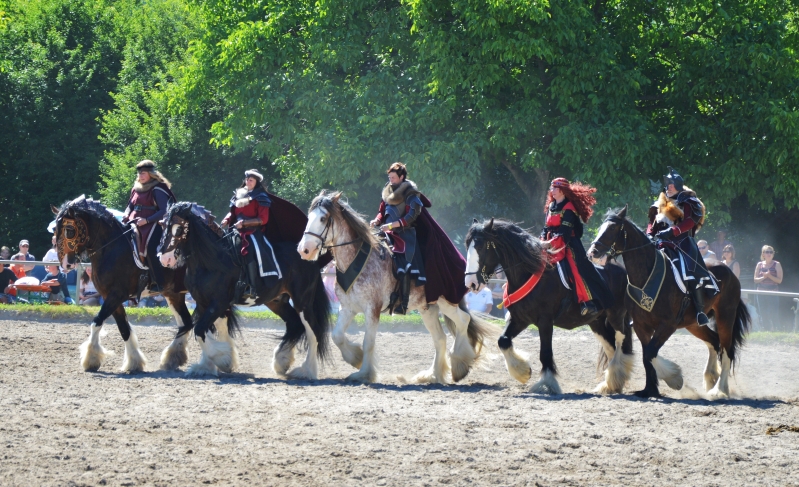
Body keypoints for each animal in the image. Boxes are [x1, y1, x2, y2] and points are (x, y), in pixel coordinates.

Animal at [51, 194, 194, 374]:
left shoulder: (116, 295)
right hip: (174, 295)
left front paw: (90, 358)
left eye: (69, 230)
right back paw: (173, 358)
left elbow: (97, 321)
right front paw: (134, 362)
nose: (65, 264)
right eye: (55, 231)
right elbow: (124, 329)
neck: (111, 248)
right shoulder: (112, 297)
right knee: (186, 323)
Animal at [158, 201, 332, 378]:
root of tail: (309, 257)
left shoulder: (219, 303)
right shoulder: (203, 303)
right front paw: (207, 366)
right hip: (277, 301)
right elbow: (205, 330)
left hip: (303, 302)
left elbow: (200, 329)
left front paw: (223, 359)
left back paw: (307, 371)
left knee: (312, 332)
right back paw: (282, 361)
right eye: (163, 225)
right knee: (295, 325)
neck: (211, 261)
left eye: (179, 228)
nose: (164, 258)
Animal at [296, 191, 494, 386]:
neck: (357, 259)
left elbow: (368, 342)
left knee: (463, 321)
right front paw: (356, 358)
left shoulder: (372, 309)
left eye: (323, 218)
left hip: (445, 302)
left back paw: (459, 364)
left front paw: (364, 374)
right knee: (440, 339)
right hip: (428, 309)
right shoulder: (347, 308)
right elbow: (336, 336)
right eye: (309, 217)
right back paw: (432, 375)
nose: (304, 250)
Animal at [466, 219, 636, 394]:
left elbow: (545, 353)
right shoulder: (520, 319)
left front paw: (547, 383)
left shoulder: (545, 321)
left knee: (620, 342)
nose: (470, 283)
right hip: (596, 322)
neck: (529, 272)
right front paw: (523, 372)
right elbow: (503, 340)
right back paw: (612, 383)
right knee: (611, 347)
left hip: (616, 316)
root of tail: (622, 270)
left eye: (480, 247)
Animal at [588, 207, 752, 400]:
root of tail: (729, 272)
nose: (592, 252)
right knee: (714, 341)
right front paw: (650, 390)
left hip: (725, 316)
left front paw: (675, 379)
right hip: (694, 324)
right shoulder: (641, 326)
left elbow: (651, 352)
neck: (646, 277)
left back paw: (720, 389)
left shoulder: (668, 325)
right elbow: (647, 356)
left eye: (613, 228)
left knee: (726, 350)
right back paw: (711, 377)